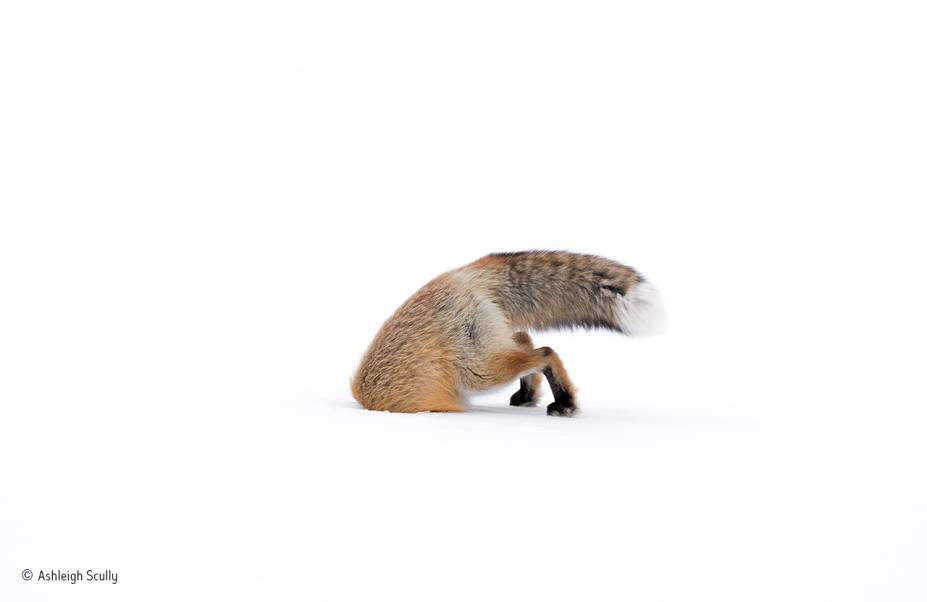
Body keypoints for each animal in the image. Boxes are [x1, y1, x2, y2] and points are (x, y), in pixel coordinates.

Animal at [351, 250, 665, 417]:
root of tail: (458, 275)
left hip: (478, 372)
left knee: (546, 352)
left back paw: (565, 402)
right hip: (491, 346)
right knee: (526, 341)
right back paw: (529, 394)